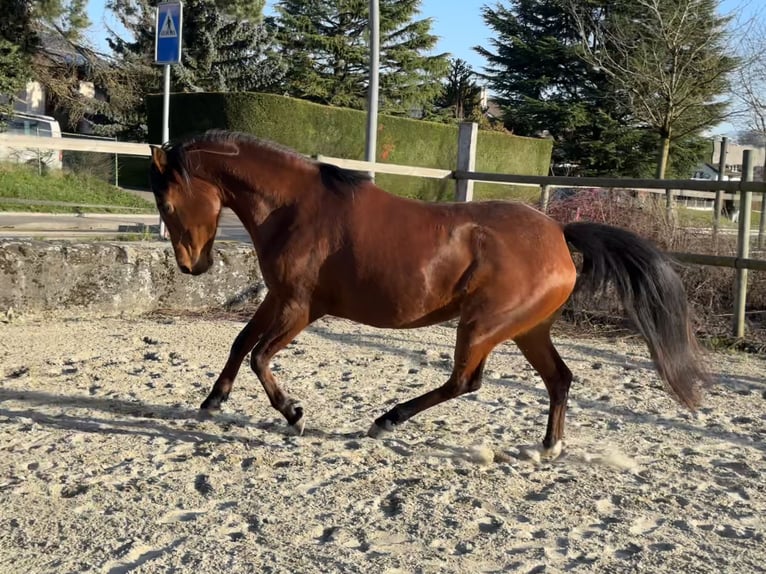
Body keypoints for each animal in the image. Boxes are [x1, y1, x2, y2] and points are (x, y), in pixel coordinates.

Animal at [148, 129, 709, 457]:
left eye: (168, 203)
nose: (192, 266)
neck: (296, 208)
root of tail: (558, 233)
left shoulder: (301, 306)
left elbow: (260, 356)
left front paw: (294, 415)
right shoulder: (278, 297)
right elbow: (241, 343)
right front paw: (213, 400)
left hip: (483, 325)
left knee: (466, 381)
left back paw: (386, 421)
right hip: (527, 330)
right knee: (559, 379)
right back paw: (549, 448)